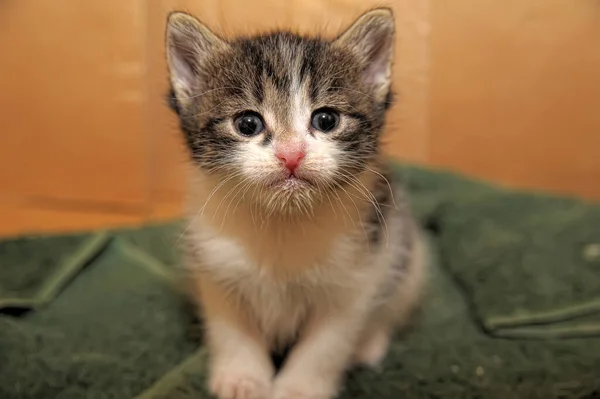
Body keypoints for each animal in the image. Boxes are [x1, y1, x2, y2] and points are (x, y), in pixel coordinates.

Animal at [166, 8, 424, 399]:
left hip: (409, 258)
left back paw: (369, 344)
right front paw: (243, 379)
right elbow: (231, 328)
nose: (291, 154)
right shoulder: (215, 264)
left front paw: (299, 388)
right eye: (247, 123)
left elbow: (327, 343)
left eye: (326, 119)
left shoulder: (357, 274)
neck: (282, 222)